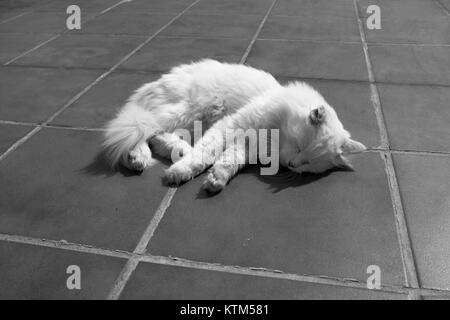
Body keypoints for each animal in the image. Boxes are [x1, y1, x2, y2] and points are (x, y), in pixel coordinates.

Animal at [103, 58, 366, 192]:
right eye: (300, 147)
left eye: (309, 164)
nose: (292, 164)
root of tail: (155, 83)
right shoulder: (231, 126)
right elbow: (204, 154)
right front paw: (180, 172)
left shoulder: (245, 145)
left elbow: (228, 161)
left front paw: (216, 179)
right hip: (189, 109)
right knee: (139, 130)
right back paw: (139, 157)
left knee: (156, 135)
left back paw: (176, 150)